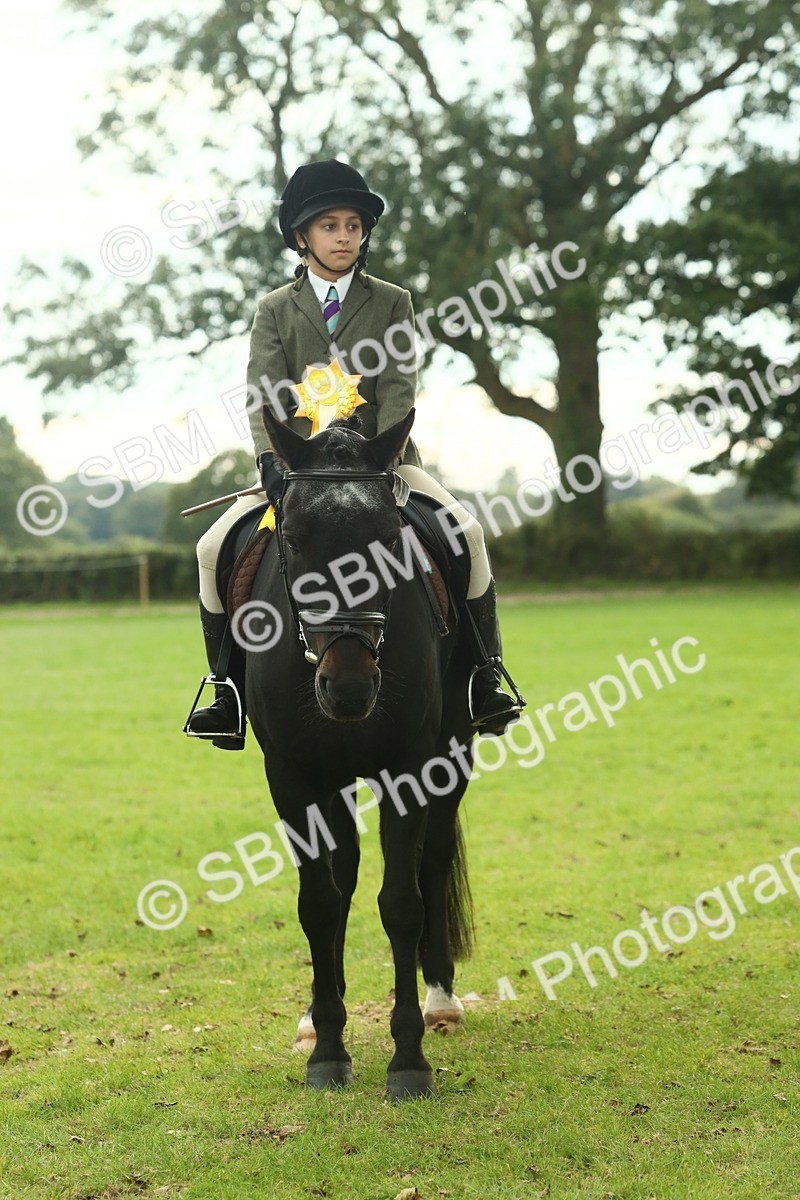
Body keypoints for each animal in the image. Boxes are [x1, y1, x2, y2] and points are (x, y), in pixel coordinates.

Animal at [245, 407, 476, 1101]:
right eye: (294, 540)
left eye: (388, 539)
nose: (348, 687)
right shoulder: (292, 775)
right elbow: (319, 903)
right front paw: (328, 1049)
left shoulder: (410, 767)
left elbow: (402, 902)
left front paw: (409, 1060)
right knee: (340, 875)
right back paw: (323, 1013)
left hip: (453, 757)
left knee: (432, 861)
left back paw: (441, 1000)